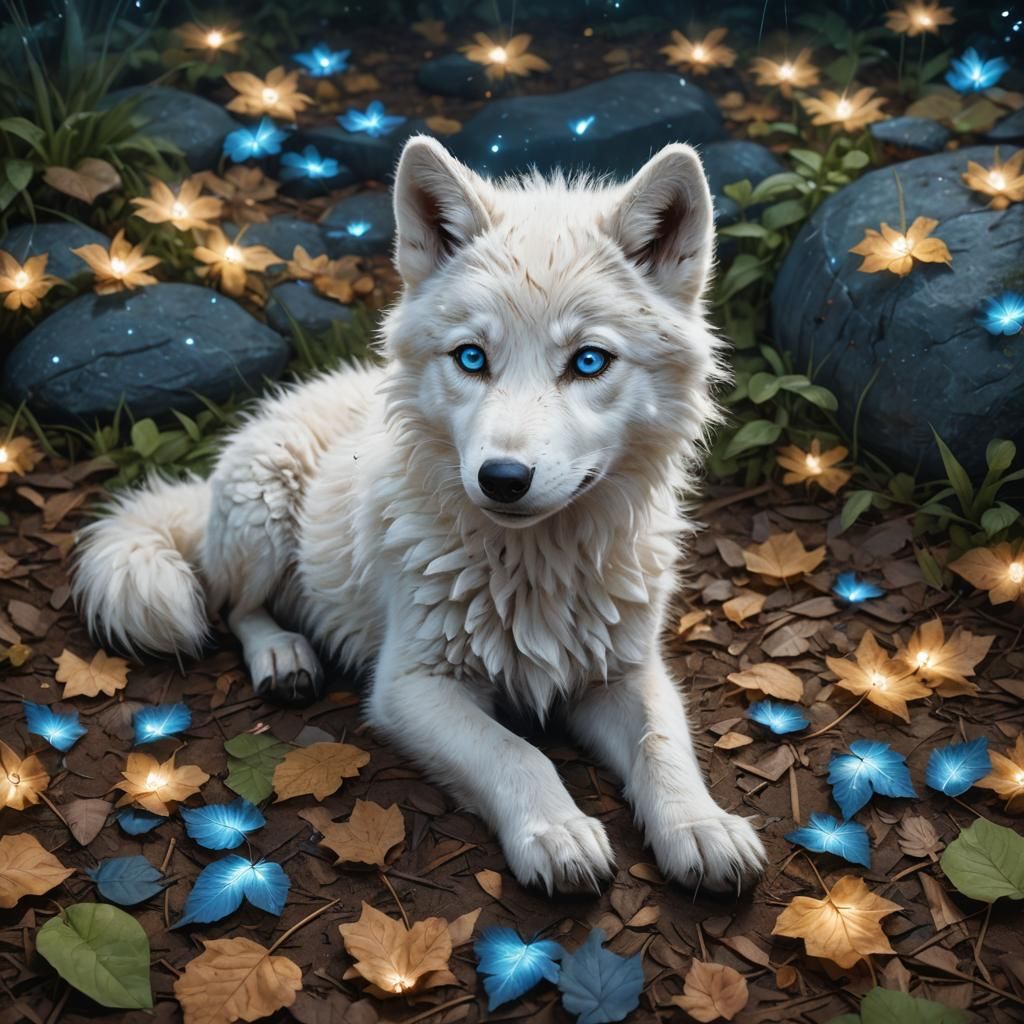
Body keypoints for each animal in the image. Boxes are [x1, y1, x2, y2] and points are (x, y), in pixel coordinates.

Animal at [73, 136, 765, 894]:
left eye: (589, 361)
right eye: (471, 357)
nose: (502, 479)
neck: (535, 568)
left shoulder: (628, 672)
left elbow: (663, 743)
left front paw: (700, 826)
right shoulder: (409, 689)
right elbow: (515, 752)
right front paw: (557, 831)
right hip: (261, 512)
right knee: (234, 606)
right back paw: (284, 655)